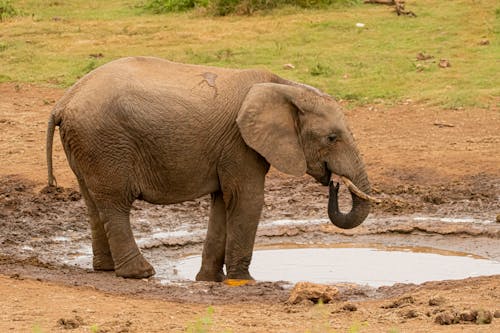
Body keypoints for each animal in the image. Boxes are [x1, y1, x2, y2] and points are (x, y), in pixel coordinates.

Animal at [46, 56, 376, 280]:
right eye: (331, 138)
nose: (335, 183)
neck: (286, 87)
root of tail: (63, 102)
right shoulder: (240, 143)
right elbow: (248, 200)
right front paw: (244, 281)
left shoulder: (228, 150)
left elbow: (222, 203)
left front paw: (210, 279)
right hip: (104, 143)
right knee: (115, 204)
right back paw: (140, 273)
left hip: (86, 145)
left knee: (93, 203)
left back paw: (105, 268)